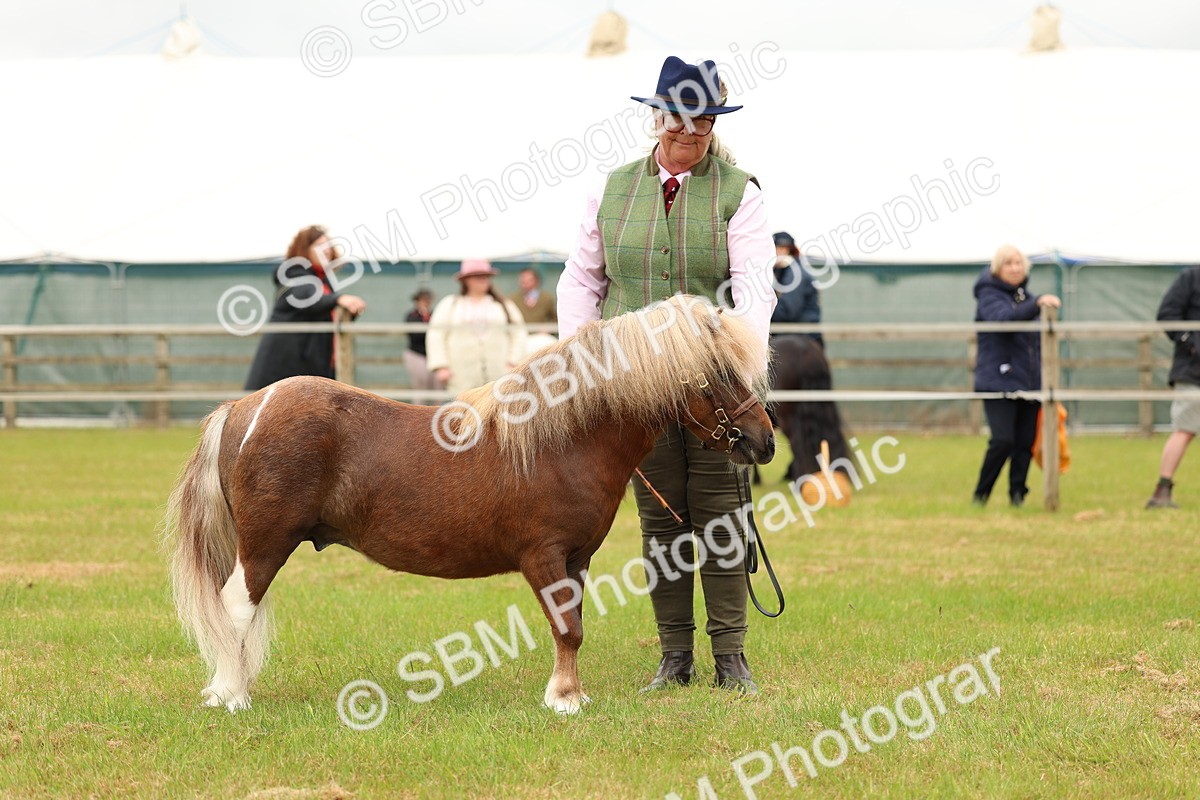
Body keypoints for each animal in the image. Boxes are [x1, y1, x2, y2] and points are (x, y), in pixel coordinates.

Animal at [162, 295, 775, 716]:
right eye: (719, 373)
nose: (763, 442)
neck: (565, 438)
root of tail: (246, 407)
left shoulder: (576, 560)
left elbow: (573, 625)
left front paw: (570, 694)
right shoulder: (544, 557)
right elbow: (567, 628)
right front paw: (564, 700)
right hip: (264, 545)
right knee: (235, 608)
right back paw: (231, 695)